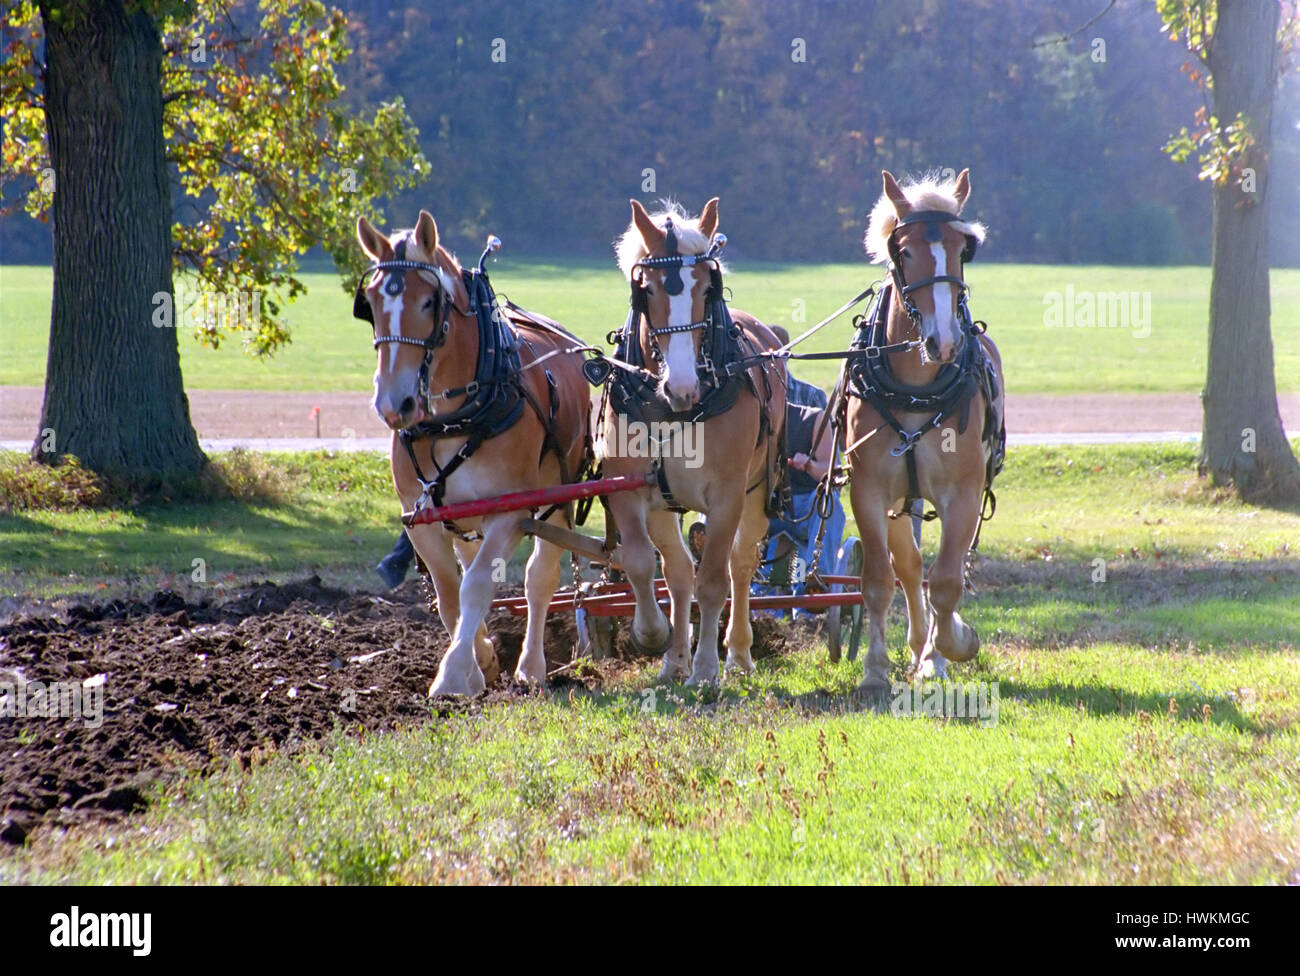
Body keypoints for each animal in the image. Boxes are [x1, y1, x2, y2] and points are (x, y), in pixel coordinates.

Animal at [354, 209, 590, 696]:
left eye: (430, 302)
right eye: (370, 302)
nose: (394, 403)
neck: (454, 417)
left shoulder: (508, 512)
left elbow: (478, 586)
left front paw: (452, 675)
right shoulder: (422, 517)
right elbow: (448, 593)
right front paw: (479, 660)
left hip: (559, 495)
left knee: (541, 578)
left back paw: (532, 667)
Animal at [597, 198, 787, 685]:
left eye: (706, 288)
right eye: (647, 290)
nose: (681, 387)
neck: (674, 411)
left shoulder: (726, 496)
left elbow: (715, 578)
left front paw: (705, 669)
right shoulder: (627, 488)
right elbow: (642, 562)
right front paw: (653, 636)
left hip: (757, 491)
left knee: (740, 563)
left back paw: (736, 654)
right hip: (665, 505)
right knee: (679, 571)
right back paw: (674, 659)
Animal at [841, 170, 1005, 690]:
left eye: (962, 249)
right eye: (905, 251)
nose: (944, 342)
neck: (915, 388)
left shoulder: (964, 493)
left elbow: (949, 580)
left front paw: (954, 644)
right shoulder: (869, 491)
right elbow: (879, 579)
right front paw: (875, 670)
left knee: (937, 572)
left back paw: (931, 651)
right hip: (900, 500)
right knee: (909, 568)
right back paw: (916, 645)